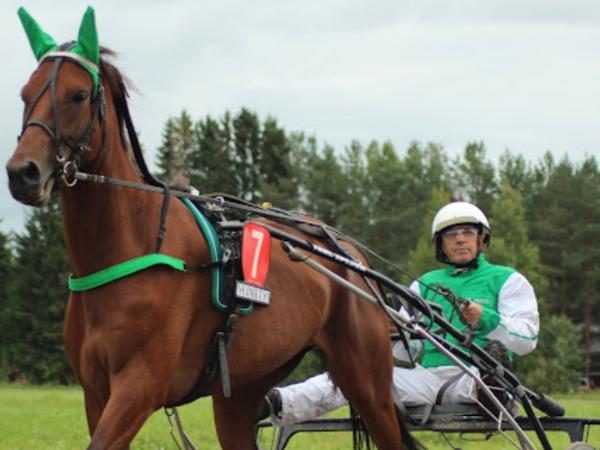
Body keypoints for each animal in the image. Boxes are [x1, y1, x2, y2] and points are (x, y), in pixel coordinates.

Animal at [6, 8, 415, 450]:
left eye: (79, 95)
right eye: (25, 94)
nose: (22, 173)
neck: (130, 246)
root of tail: (348, 253)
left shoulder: (141, 384)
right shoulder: (96, 391)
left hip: (367, 380)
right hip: (244, 386)